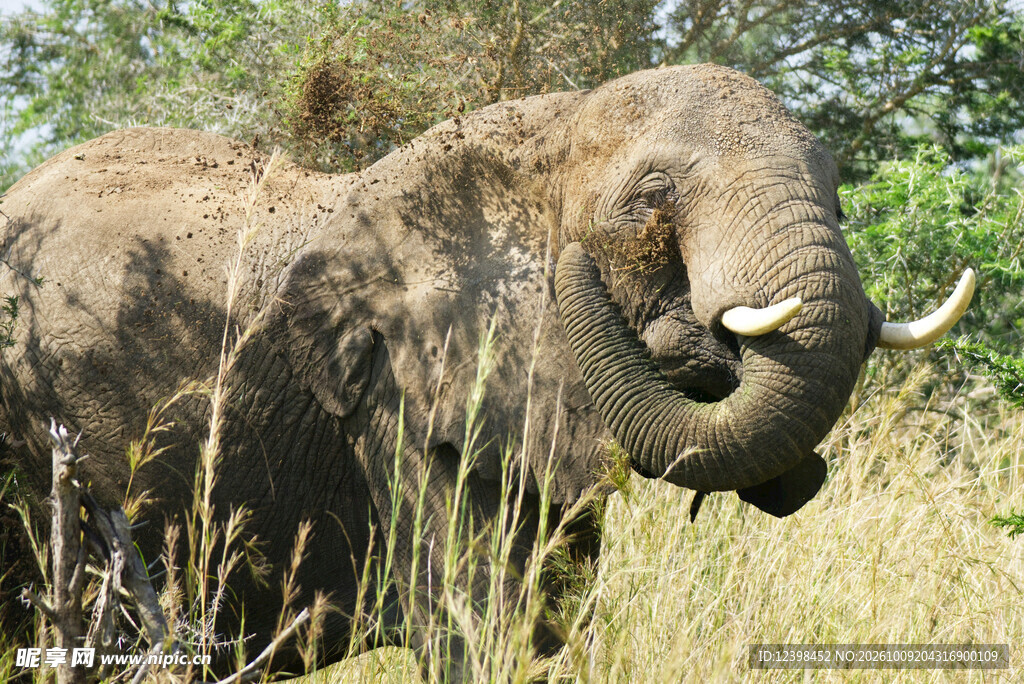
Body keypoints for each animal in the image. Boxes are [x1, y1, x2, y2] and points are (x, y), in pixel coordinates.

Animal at [0, 63, 973, 676]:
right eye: (653, 198)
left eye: (839, 195)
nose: (694, 338)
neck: (551, 131)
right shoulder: (390, 396)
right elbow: (482, 626)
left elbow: (554, 618)